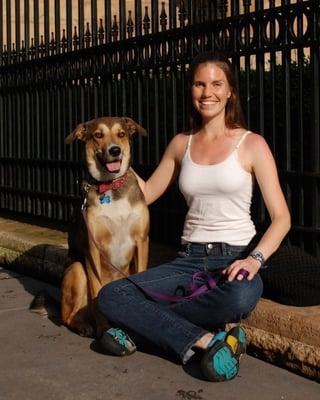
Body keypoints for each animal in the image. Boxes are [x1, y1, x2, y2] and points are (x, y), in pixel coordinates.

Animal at [31, 116, 149, 338]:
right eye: (98, 135)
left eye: (121, 134)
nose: (115, 150)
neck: (111, 186)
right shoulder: (92, 248)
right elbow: (96, 292)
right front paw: (103, 329)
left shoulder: (141, 240)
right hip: (77, 269)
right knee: (67, 316)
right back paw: (83, 326)